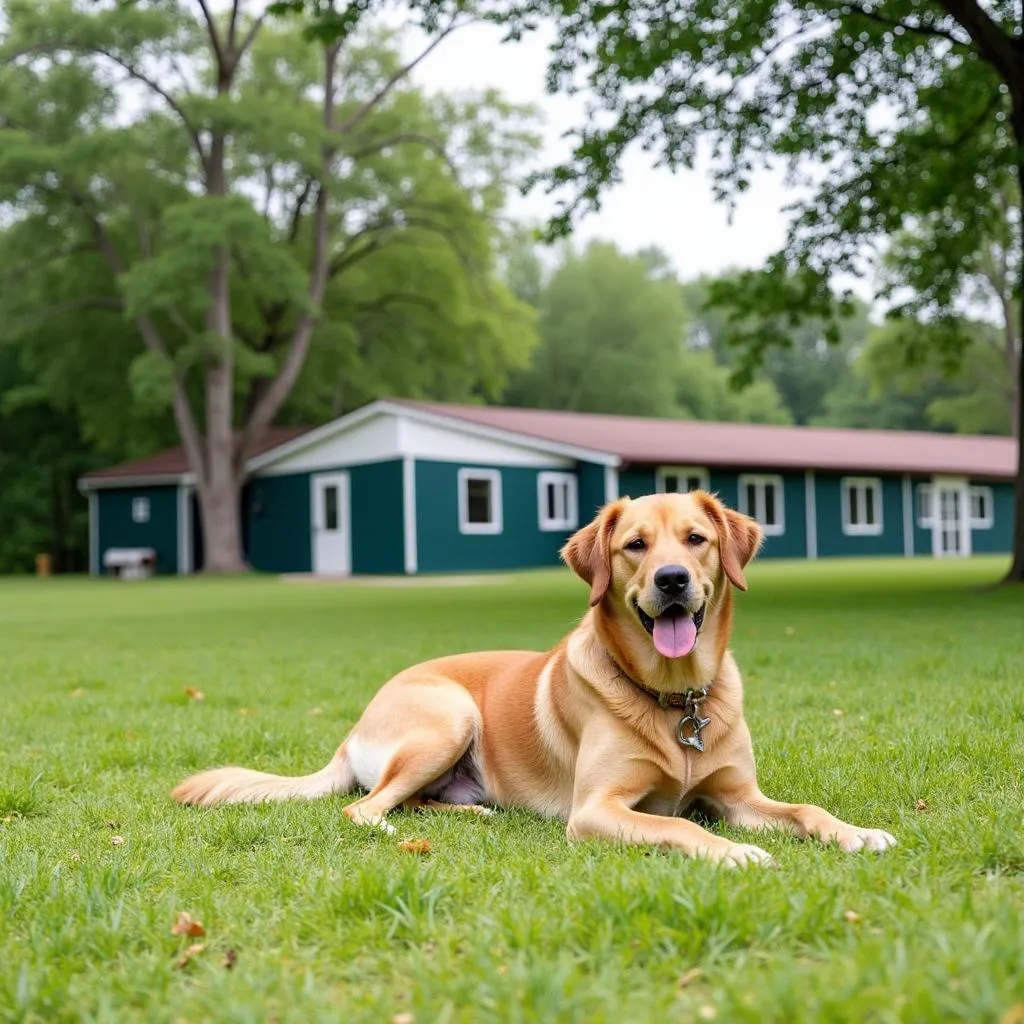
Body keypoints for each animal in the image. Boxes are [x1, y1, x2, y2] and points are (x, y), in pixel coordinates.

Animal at [174, 489, 897, 864]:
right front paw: (730, 853)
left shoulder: (739, 797)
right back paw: (400, 831)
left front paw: (855, 832)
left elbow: (804, 809)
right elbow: (682, 826)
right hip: (449, 717)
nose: (671, 580)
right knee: (363, 806)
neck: (674, 695)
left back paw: (470, 813)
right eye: (635, 545)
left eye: (697, 539)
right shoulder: (598, 809)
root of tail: (357, 724)